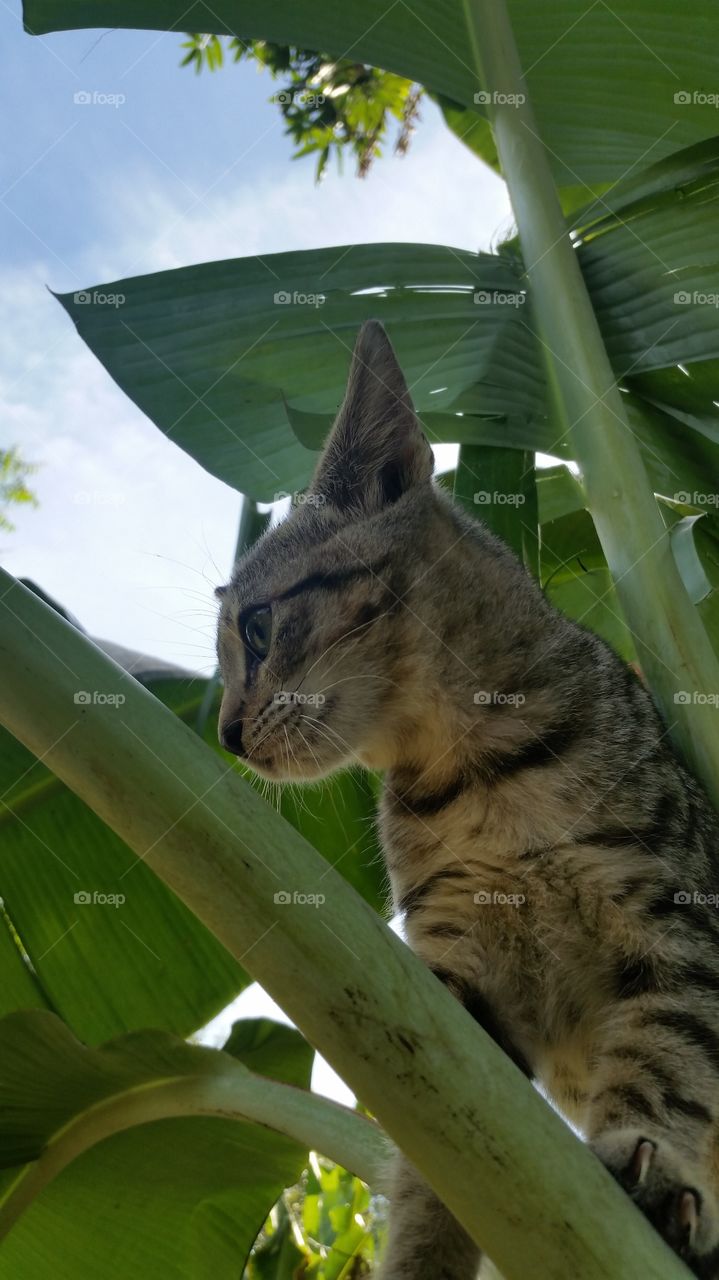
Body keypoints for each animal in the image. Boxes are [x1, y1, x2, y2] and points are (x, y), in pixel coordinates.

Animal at [214, 320, 716, 1280]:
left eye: (256, 631)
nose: (221, 733)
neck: (476, 770)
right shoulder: (459, 992)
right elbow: (443, 1163)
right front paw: (421, 1258)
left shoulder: (676, 924)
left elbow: (668, 1057)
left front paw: (654, 1164)